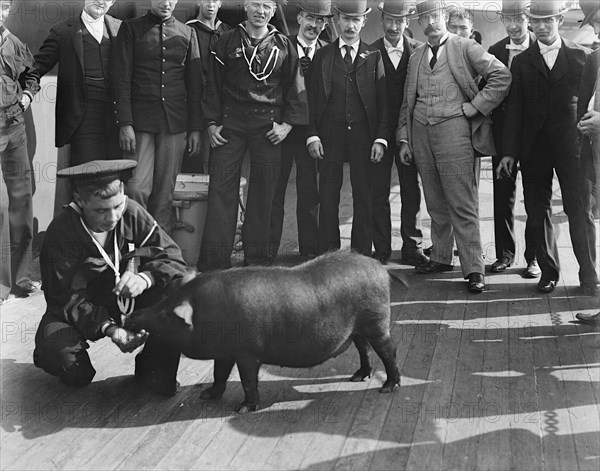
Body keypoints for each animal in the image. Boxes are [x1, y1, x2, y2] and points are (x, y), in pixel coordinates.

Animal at [123, 251, 400, 412]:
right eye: (162, 303)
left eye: (164, 314)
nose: (130, 316)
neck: (211, 313)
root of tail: (379, 267)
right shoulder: (225, 352)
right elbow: (219, 373)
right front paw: (206, 396)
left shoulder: (247, 352)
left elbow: (247, 380)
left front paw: (243, 409)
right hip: (358, 329)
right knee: (364, 349)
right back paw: (357, 377)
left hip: (376, 322)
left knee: (389, 352)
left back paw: (388, 387)